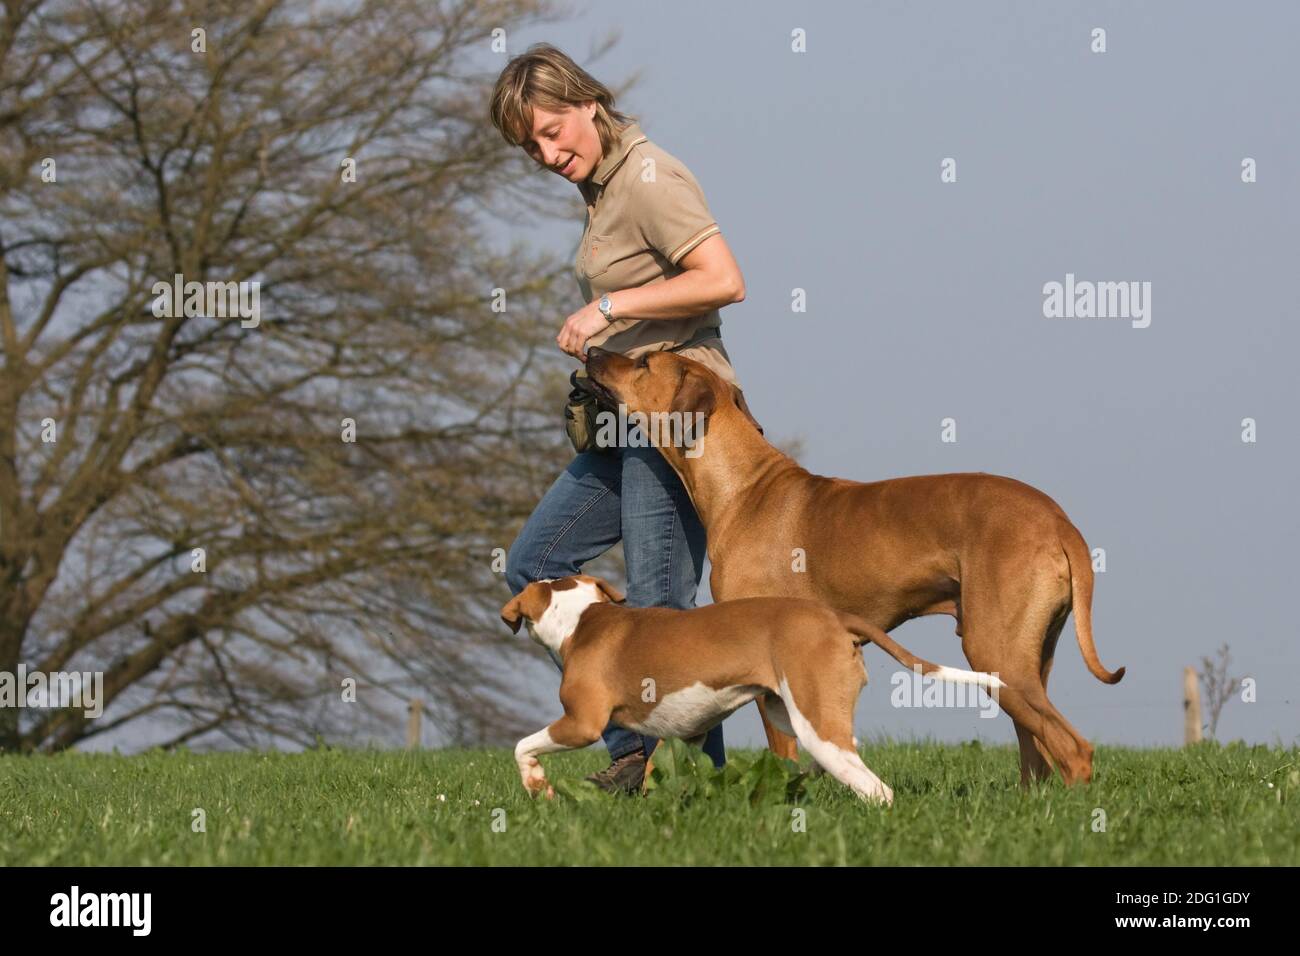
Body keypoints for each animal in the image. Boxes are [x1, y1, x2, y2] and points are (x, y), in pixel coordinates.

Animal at [496, 574, 1003, 806]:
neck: (583, 618)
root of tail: (835, 617)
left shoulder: (581, 722)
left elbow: (522, 746)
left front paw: (537, 786)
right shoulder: (686, 734)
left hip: (814, 724)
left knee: (875, 788)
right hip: (791, 714)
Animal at [585, 345, 1123, 785]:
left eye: (643, 362)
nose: (591, 350)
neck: (744, 487)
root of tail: (1059, 521)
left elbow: (783, 754)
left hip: (996, 652)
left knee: (1074, 750)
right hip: (1025, 662)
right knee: (1039, 754)